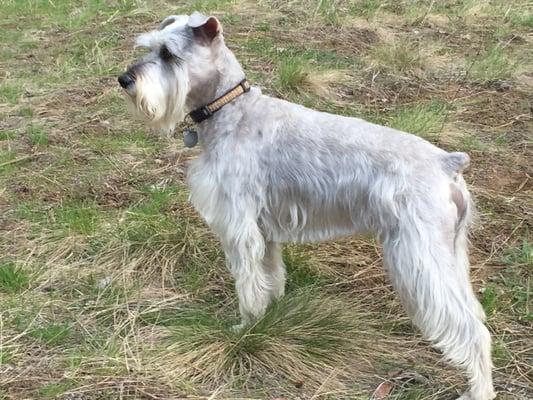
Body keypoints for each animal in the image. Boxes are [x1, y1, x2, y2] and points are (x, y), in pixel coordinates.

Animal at [116, 12, 494, 400]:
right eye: (150, 47)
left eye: (168, 53)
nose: (124, 79)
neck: (231, 109)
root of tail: (447, 163)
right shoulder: (264, 232)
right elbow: (269, 277)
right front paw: (268, 316)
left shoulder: (239, 228)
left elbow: (248, 283)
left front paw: (246, 329)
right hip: (449, 253)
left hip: (421, 257)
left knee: (472, 329)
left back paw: (477, 391)